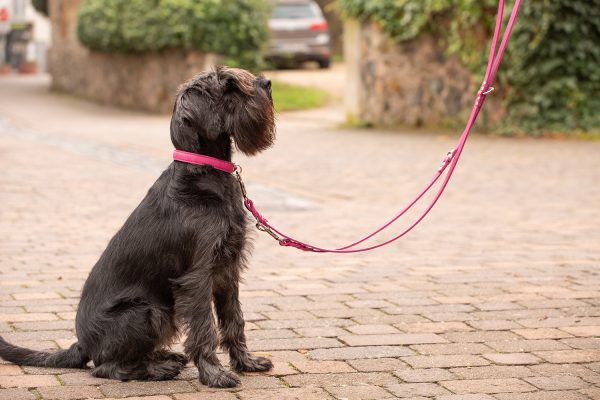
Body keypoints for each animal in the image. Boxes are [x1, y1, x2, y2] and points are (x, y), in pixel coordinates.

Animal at [0, 66, 276, 388]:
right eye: (230, 86)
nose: (268, 83)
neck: (203, 173)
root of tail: (82, 344)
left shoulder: (227, 270)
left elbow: (234, 320)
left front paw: (246, 363)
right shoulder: (197, 278)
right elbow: (204, 327)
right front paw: (215, 374)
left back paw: (165, 358)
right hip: (147, 311)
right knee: (105, 367)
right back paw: (157, 369)